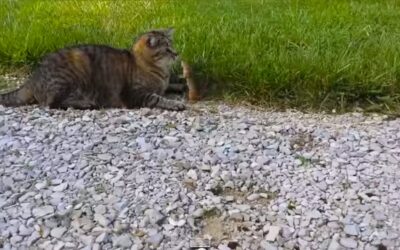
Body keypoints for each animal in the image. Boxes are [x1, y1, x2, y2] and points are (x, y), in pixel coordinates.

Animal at [0, 27, 187, 110]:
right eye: (167, 49)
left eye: (172, 46)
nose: (177, 53)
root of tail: (32, 78)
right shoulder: (135, 95)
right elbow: (157, 98)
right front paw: (174, 103)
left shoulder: (165, 83)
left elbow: (172, 84)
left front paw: (182, 84)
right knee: (53, 103)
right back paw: (86, 104)